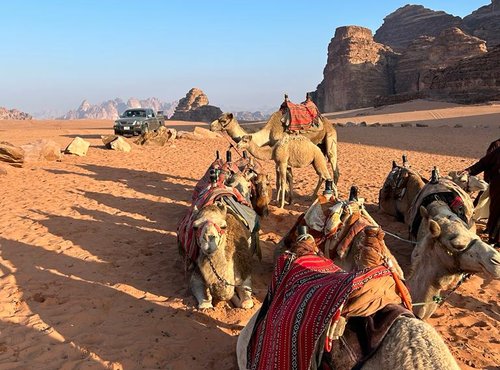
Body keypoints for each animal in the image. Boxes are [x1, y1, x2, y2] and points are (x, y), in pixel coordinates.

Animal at [207, 110, 340, 184]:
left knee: (333, 164)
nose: (211, 126)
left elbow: (285, 177)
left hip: (330, 137)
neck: (268, 132)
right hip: (320, 146)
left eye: (223, 120)